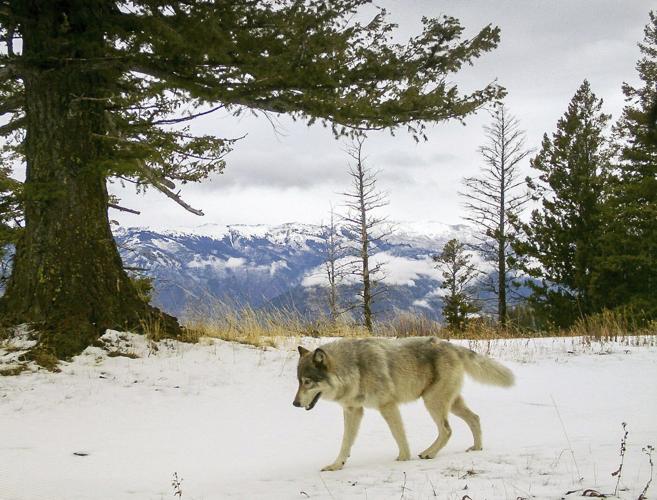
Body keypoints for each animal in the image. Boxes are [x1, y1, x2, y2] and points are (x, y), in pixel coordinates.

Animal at [293, 337, 514, 471]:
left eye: (307, 382)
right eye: (298, 382)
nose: (294, 403)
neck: (355, 369)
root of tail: (451, 345)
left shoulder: (388, 406)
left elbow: (398, 435)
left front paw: (403, 459)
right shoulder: (353, 411)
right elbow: (345, 442)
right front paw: (336, 465)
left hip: (432, 402)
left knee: (447, 430)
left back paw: (429, 453)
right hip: (450, 404)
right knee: (475, 418)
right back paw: (476, 448)